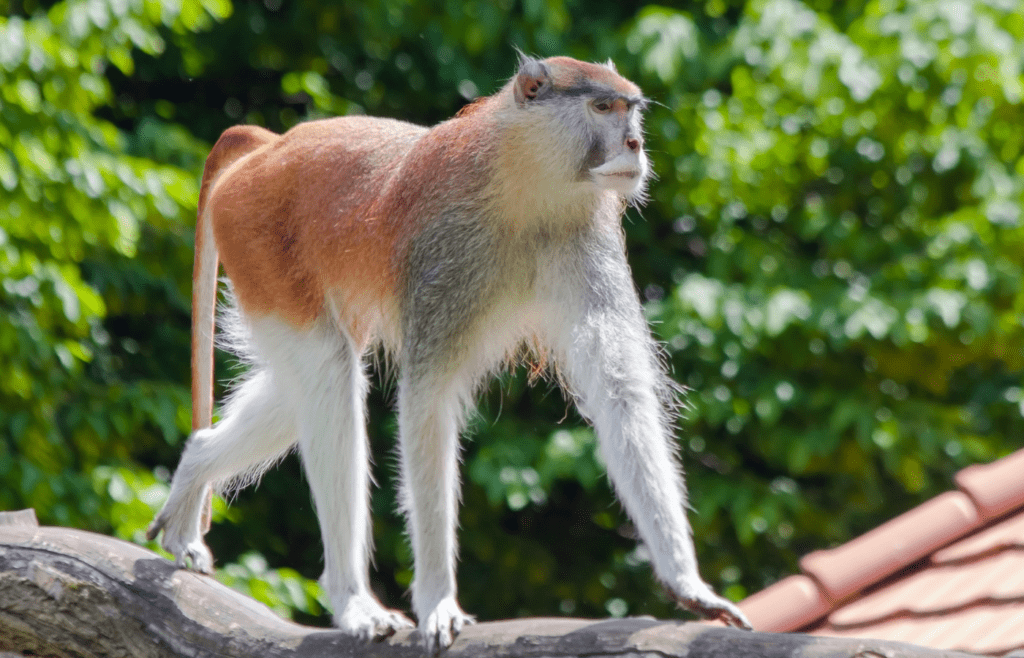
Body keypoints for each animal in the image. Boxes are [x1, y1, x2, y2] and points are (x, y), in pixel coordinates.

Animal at [146, 56, 753, 654]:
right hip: (257, 242)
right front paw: (438, 599)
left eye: (631, 110)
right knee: (328, 376)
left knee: (309, 386)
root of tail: (271, 147)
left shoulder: (585, 241)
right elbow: (427, 405)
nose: (634, 144)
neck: (520, 181)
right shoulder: (444, 262)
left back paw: (195, 468)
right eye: (602, 107)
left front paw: (688, 585)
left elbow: (620, 393)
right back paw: (352, 602)